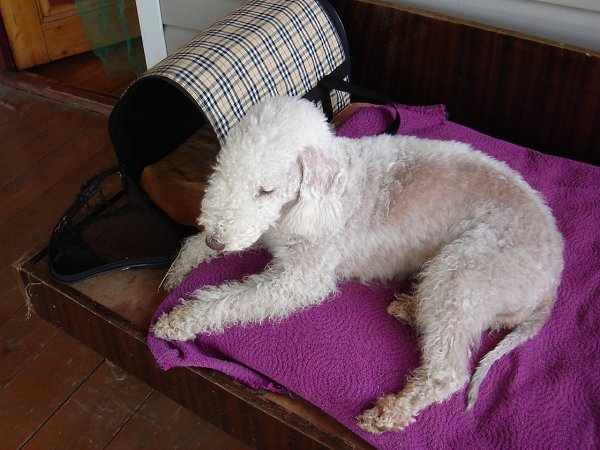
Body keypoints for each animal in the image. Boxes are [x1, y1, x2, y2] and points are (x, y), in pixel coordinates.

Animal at [152, 96, 564, 433]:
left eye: (265, 190)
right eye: (222, 172)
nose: (216, 239)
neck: (315, 195)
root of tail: (553, 276)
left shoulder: (303, 278)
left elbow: (233, 300)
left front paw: (180, 319)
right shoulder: (263, 232)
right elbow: (198, 248)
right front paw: (178, 272)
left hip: (465, 270)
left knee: (447, 371)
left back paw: (389, 412)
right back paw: (410, 307)